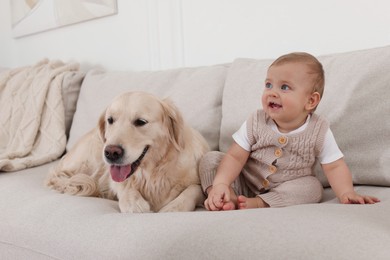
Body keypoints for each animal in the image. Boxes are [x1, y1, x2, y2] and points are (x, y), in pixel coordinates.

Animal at [45, 91, 209, 213]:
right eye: (110, 120)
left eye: (141, 122)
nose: (111, 153)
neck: (152, 173)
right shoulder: (113, 176)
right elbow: (122, 185)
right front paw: (133, 202)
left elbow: (194, 189)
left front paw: (174, 207)